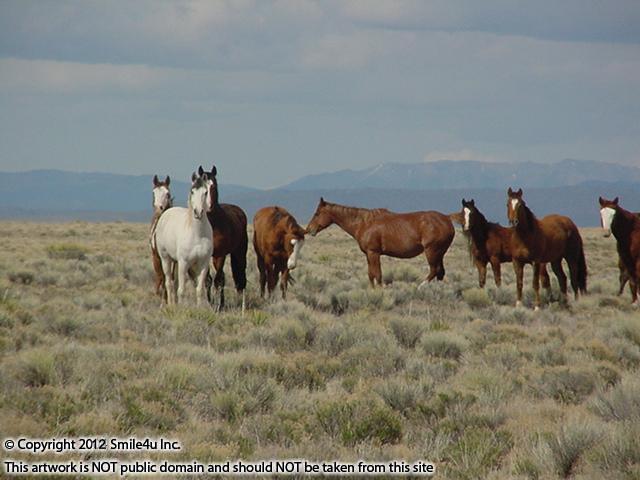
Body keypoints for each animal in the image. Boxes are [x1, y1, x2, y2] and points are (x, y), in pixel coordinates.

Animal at [153, 173, 213, 306]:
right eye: (192, 191)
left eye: (206, 192)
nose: (198, 212)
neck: (197, 234)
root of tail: (166, 212)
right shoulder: (183, 263)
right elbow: (181, 290)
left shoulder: (203, 264)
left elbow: (199, 290)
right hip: (166, 259)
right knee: (169, 283)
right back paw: (171, 305)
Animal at [198, 165, 248, 312]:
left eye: (213, 186)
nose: (207, 208)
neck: (213, 225)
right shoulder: (205, 255)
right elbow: (208, 280)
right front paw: (210, 303)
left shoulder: (219, 255)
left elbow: (217, 280)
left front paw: (217, 306)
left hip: (239, 253)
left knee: (240, 278)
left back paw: (241, 305)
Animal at [306, 198, 454, 287]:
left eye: (317, 213)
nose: (308, 229)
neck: (364, 223)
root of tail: (447, 218)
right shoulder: (368, 254)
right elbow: (371, 275)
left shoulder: (374, 253)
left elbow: (377, 275)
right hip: (439, 254)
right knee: (440, 272)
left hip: (431, 252)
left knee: (434, 270)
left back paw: (420, 287)